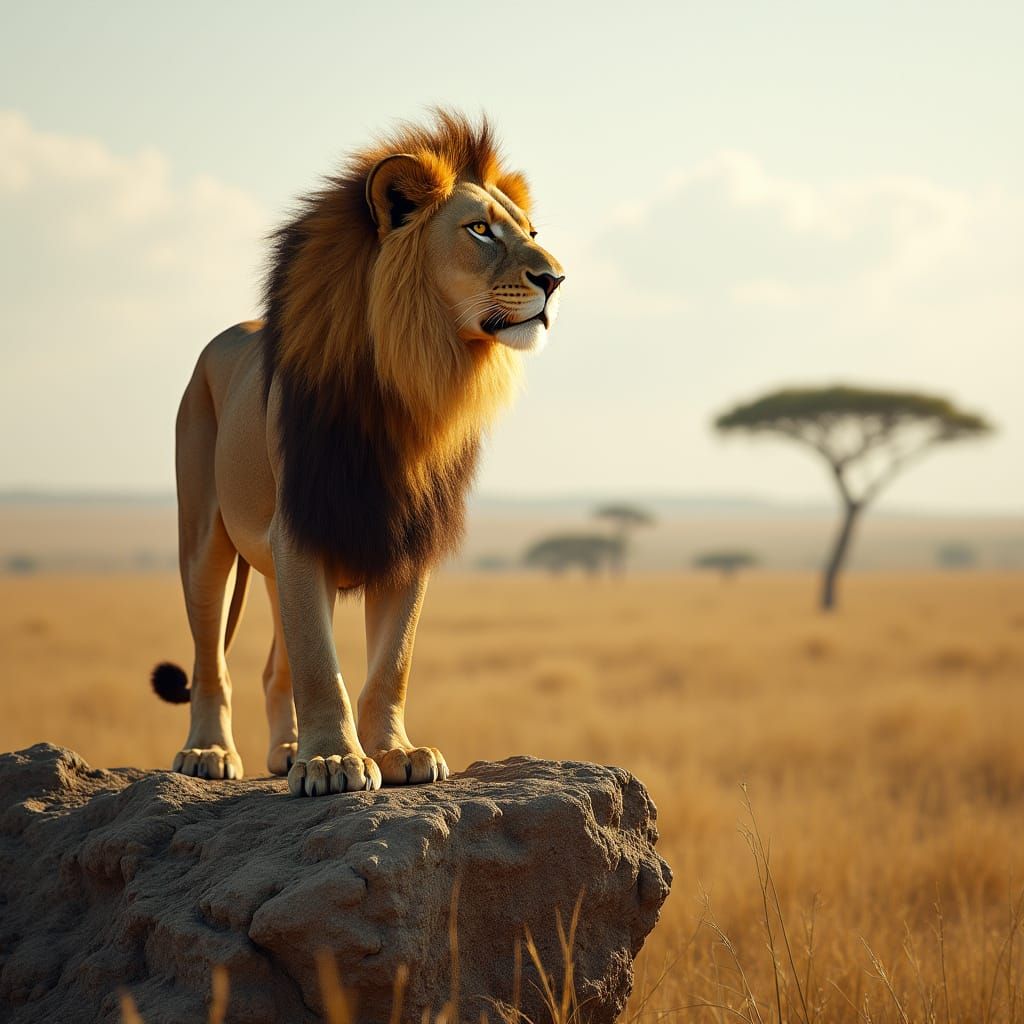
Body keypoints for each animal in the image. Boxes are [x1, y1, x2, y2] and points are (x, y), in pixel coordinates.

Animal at [150, 111, 564, 797]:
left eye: (532, 232)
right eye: (479, 229)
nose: (555, 279)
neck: (412, 379)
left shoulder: (405, 534)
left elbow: (391, 663)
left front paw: (395, 752)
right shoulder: (302, 527)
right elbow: (322, 664)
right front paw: (333, 762)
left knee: (274, 664)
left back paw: (286, 750)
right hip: (206, 538)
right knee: (211, 659)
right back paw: (208, 752)